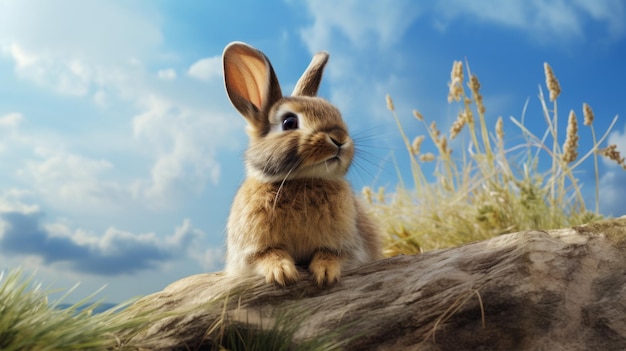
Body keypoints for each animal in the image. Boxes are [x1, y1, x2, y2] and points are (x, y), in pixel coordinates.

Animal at [222, 42, 382, 288]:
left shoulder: (348, 245)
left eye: (337, 114)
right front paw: (282, 273)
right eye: (289, 122)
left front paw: (325, 273)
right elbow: (268, 254)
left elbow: (330, 253)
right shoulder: (251, 250)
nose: (339, 139)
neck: (301, 179)